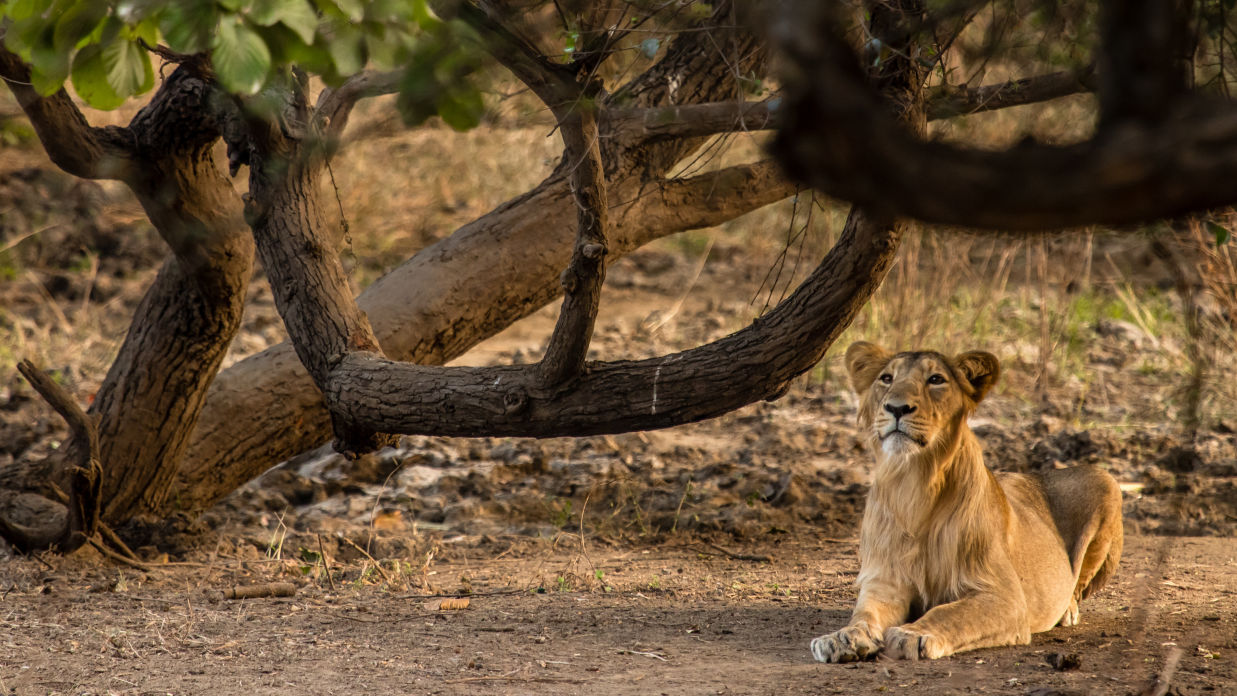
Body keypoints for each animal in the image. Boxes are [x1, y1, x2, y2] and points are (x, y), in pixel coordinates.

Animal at [811, 343, 1123, 662]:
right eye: (886, 378)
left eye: (936, 379)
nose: (896, 408)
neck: (913, 483)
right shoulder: (884, 581)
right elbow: (864, 614)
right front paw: (842, 638)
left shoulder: (1005, 596)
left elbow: (951, 614)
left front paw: (912, 635)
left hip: (1105, 481)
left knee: (1077, 586)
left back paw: (1067, 610)